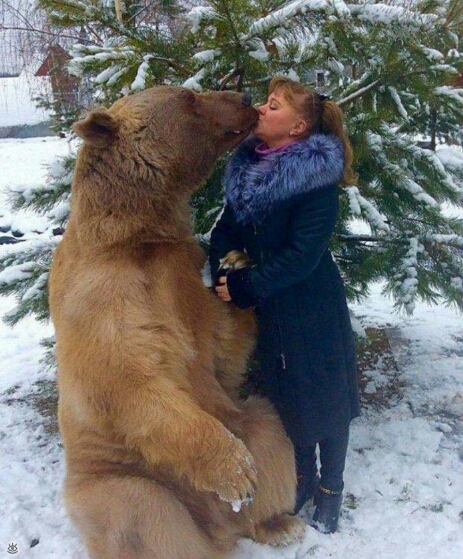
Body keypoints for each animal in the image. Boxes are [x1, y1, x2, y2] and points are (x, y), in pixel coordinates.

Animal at [49, 86, 306, 559]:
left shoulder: (182, 278)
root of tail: (218, 527)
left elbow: (222, 347)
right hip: (117, 476)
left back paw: (277, 520)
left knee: (269, 431)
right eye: (188, 97)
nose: (245, 96)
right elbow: (126, 378)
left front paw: (237, 262)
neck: (138, 236)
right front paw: (235, 471)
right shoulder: (101, 293)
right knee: (142, 510)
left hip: (243, 416)